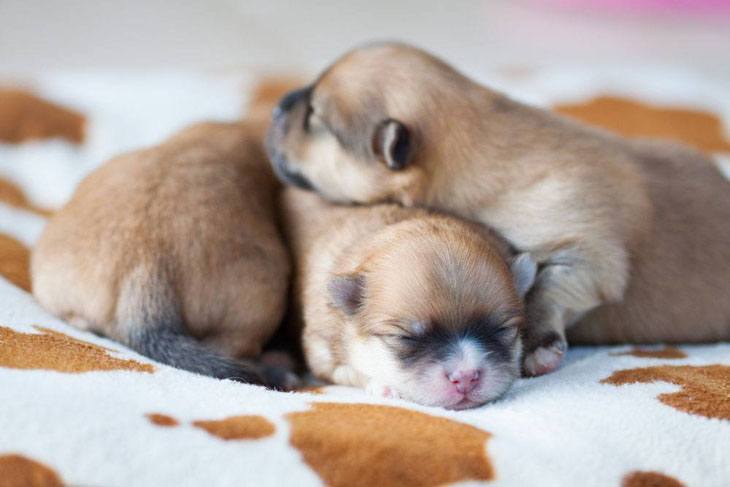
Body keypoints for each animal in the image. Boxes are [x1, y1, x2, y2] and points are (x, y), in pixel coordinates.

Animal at [278, 189, 536, 410]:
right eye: (405, 338)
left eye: (502, 329)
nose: (465, 377)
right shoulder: (321, 351)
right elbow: (348, 371)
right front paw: (382, 386)